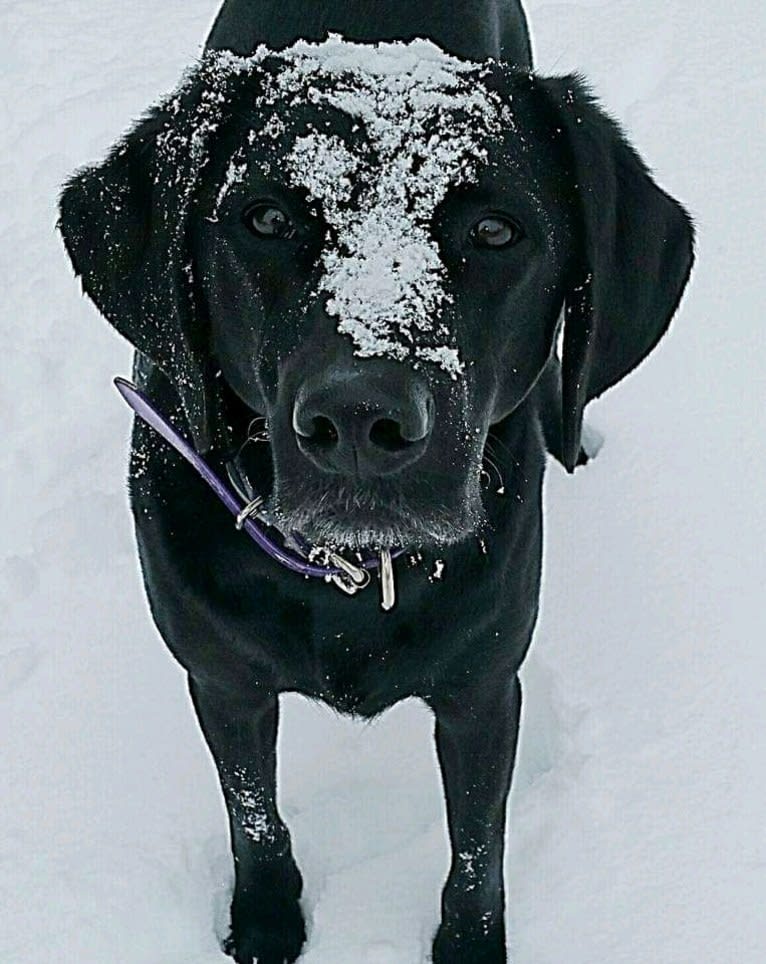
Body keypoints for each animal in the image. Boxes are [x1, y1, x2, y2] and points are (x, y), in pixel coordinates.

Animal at [60, 3, 696, 960]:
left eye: (496, 232)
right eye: (267, 219)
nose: (360, 422)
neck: (355, 576)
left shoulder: (484, 686)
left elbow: (477, 845)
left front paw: (470, 947)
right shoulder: (221, 677)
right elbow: (253, 815)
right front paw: (266, 921)